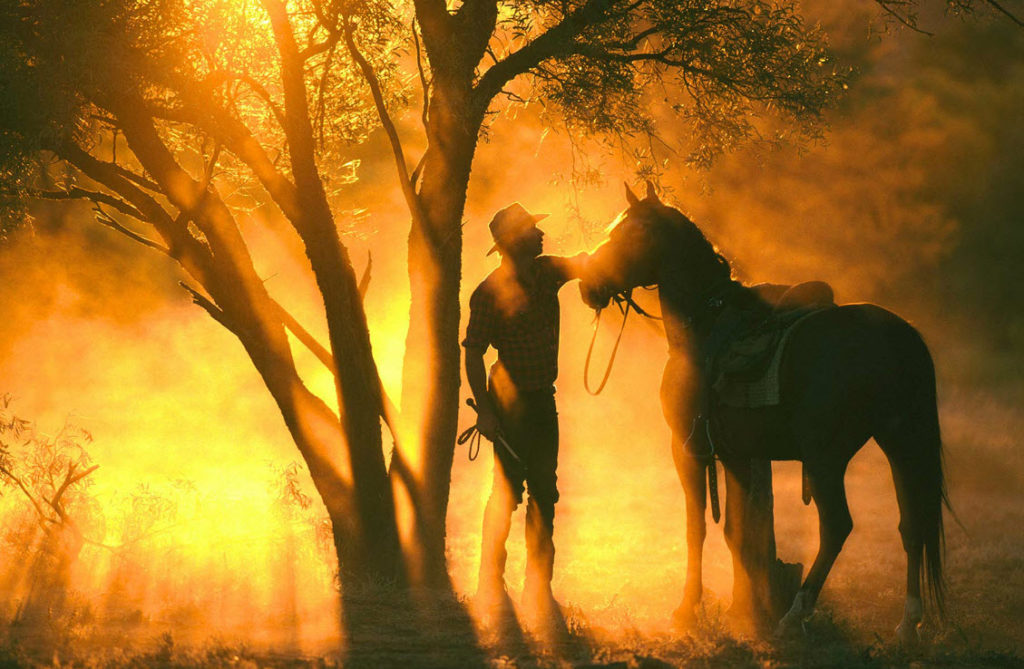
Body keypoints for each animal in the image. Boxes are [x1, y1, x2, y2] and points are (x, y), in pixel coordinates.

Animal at [581, 180, 946, 639]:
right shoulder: (737, 455)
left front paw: (689, 608)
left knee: (837, 526)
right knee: (912, 522)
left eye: (628, 235)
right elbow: (737, 533)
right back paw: (907, 623)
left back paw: (795, 614)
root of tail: (899, 336)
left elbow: (696, 527)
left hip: (826, 457)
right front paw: (749, 609)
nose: (588, 286)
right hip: (899, 441)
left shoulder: (687, 449)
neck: (702, 327)